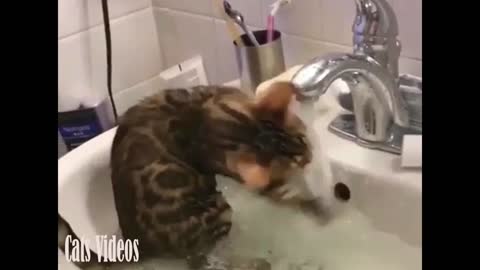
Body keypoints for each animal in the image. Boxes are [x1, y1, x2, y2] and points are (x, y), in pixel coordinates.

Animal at [58, 82, 316, 270]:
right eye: (295, 161)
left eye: (302, 139)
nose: (309, 157)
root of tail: (138, 245)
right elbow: (278, 191)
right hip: (217, 210)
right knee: (203, 258)